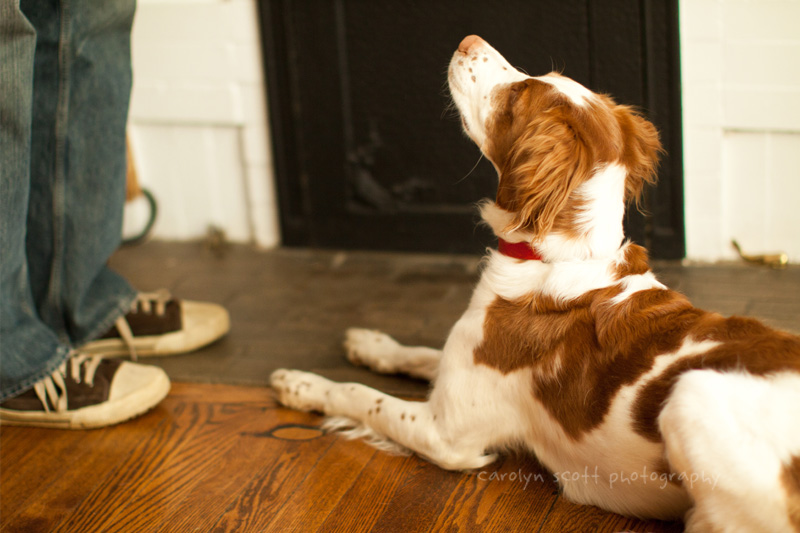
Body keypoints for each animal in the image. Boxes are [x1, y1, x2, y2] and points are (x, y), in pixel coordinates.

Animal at [270, 35, 800, 528]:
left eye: (518, 92)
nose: (468, 40)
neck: (556, 255)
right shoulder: (463, 361)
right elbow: (420, 354)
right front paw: (369, 343)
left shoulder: (446, 434)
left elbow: (359, 395)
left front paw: (300, 384)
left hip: (687, 396)